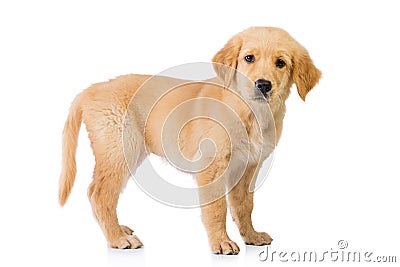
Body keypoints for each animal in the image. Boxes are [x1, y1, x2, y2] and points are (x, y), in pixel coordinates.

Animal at [58, 26, 322, 255]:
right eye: (249, 58)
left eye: (281, 63)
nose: (263, 85)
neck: (248, 111)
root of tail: (94, 88)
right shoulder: (212, 166)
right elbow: (217, 208)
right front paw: (222, 242)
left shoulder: (248, 167)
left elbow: (244, 205)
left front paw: (251, 236)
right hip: (120, 149)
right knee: (99, 193)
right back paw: (117, 238)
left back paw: (118, 230)